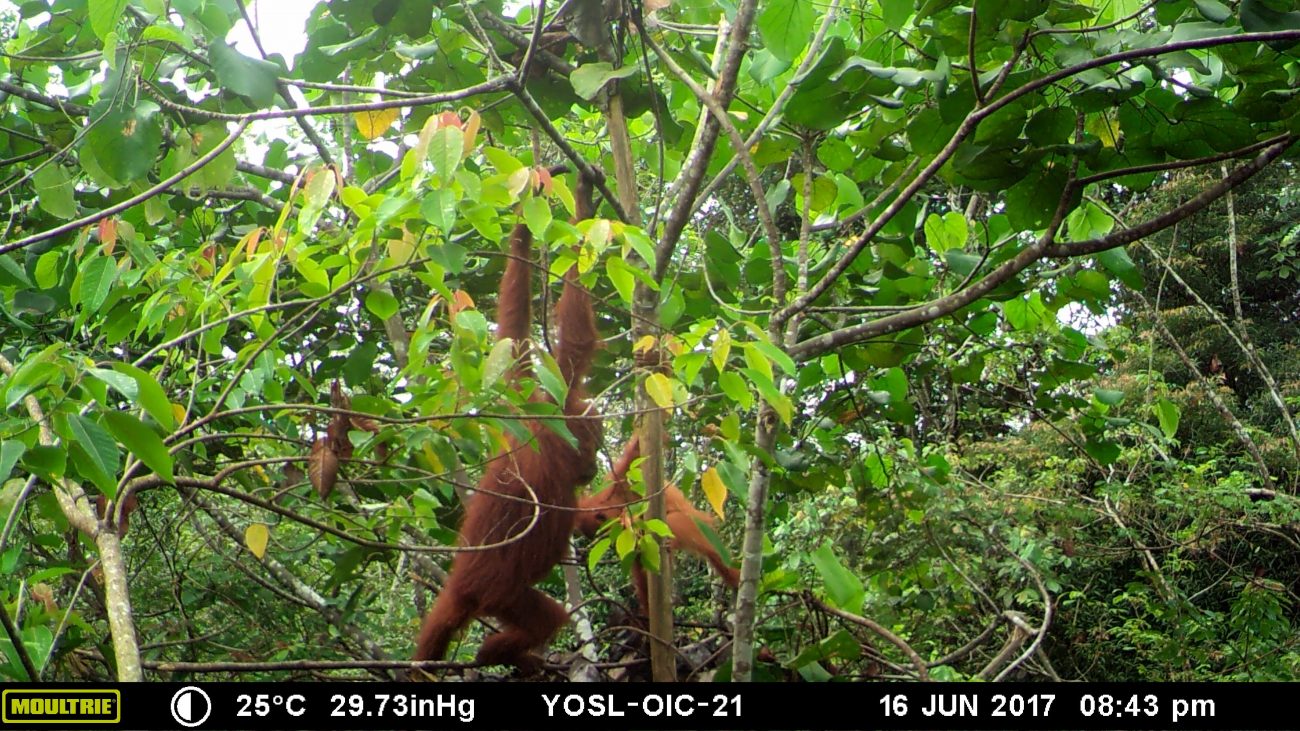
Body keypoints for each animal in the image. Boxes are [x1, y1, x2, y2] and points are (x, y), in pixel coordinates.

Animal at [412, 172, 602, 676]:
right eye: (594, 446)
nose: (594, 466)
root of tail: (459, 584)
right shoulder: (554, 422)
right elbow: (576, 339)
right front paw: (584, 200)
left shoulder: (526, 406)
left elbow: (514, 341)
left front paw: (528, 218)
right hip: (499, 592)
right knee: (546, 617)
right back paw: (501, 654)